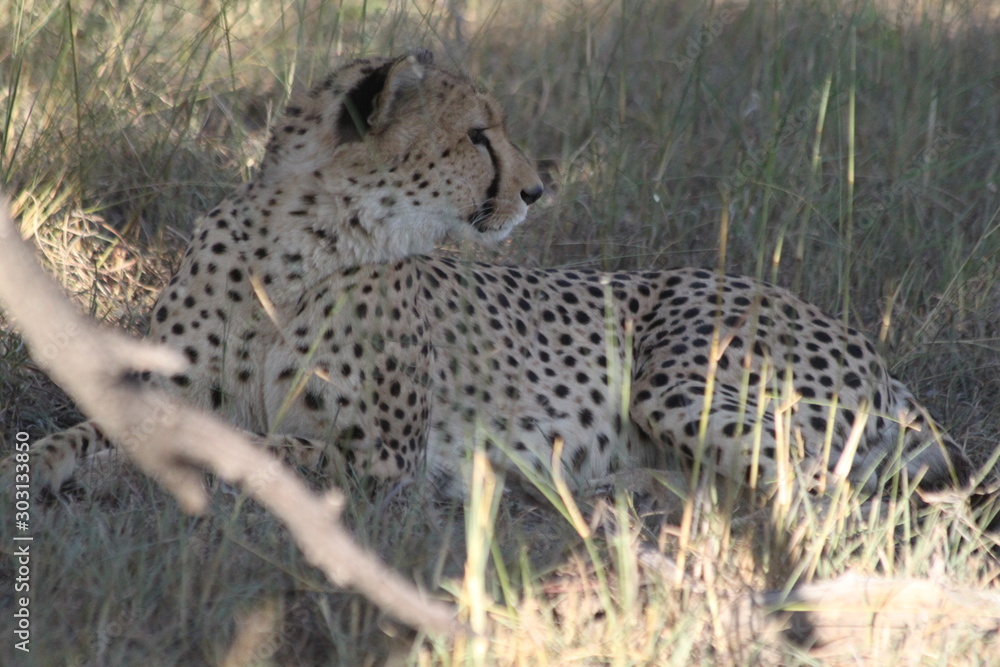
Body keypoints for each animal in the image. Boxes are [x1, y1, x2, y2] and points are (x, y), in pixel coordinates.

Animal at [9, 50, 971, 503]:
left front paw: (121, 472)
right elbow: (74, 433)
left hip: (678, 377)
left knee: (827, 492)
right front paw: (44, 468)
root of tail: (880, 357)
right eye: (478, 134)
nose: (539, 189)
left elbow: (250, 447)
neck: (295, 248)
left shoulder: (379, 457)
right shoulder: (162, 386)